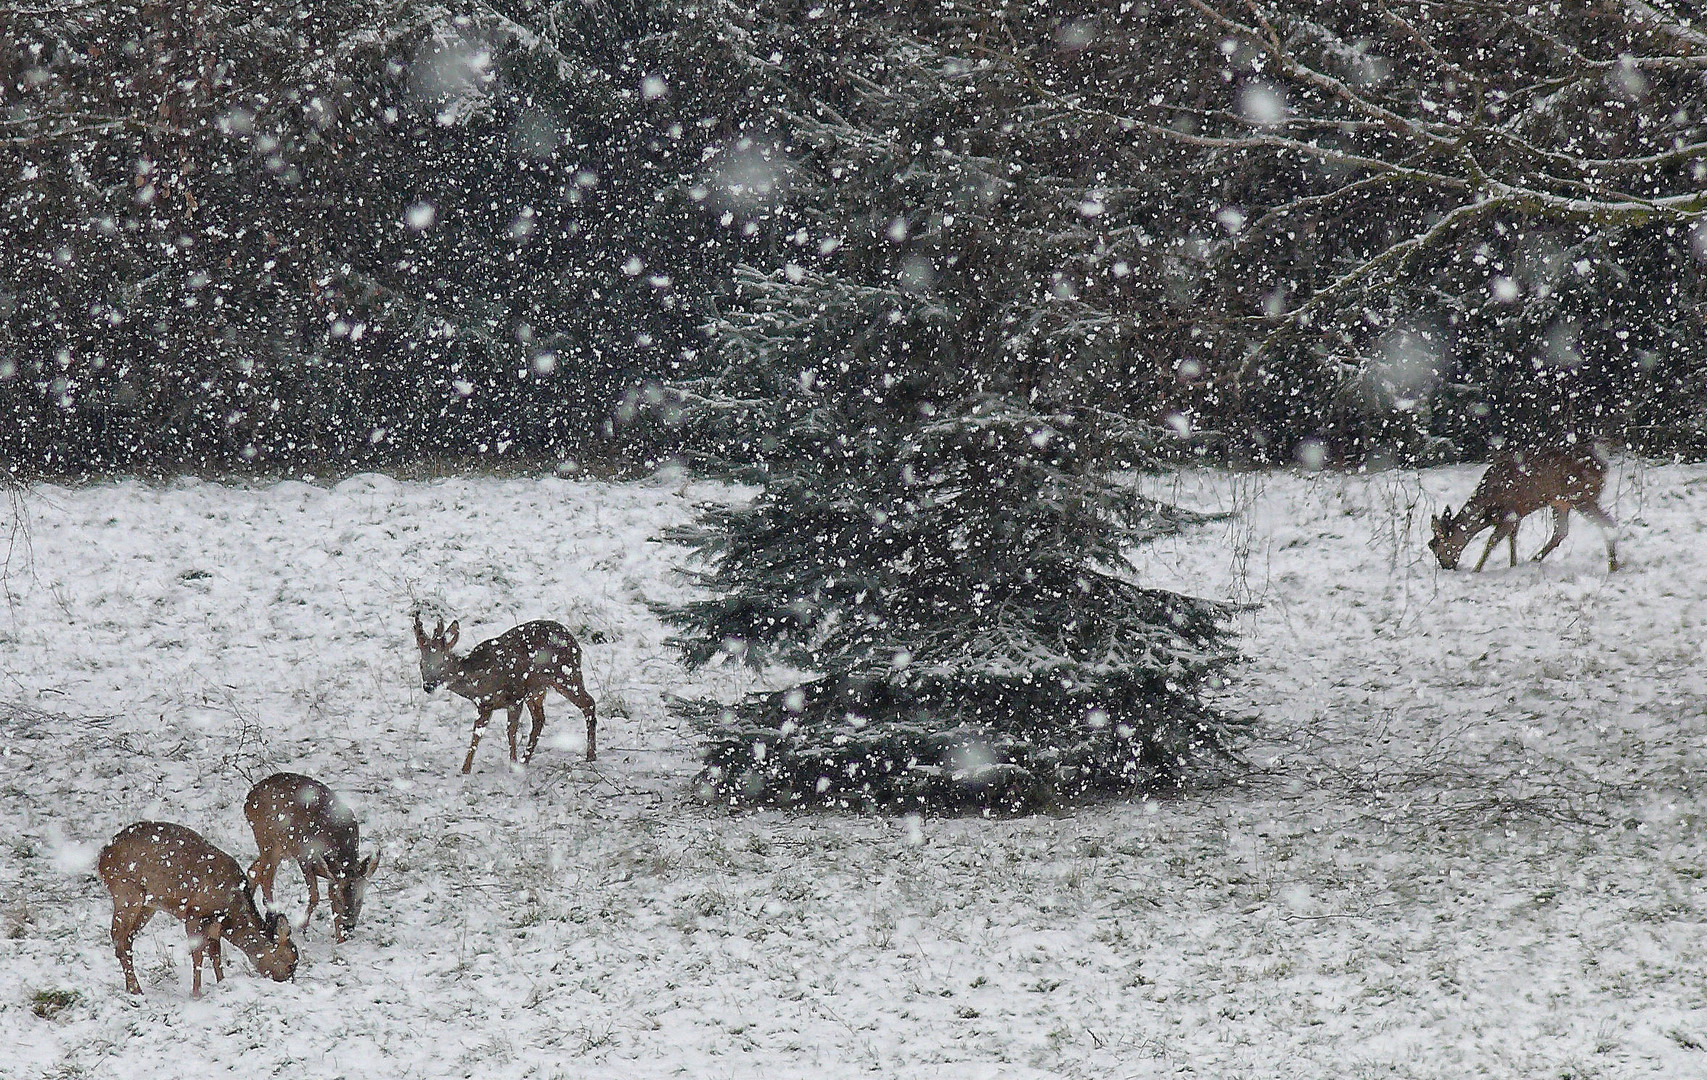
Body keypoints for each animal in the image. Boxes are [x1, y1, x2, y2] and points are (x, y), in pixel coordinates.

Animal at [94, 825, 295, 996]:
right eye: (290, 964)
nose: (289, 983)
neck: (232, 909)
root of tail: (102, 856)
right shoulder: (194, 913)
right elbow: (198, 955)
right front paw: (196, 993)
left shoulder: (215, 922)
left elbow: (215, 952)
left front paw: (222, 982)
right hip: (126, 892)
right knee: (119, 939)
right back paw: (136, 990)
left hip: (147, 904)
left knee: (127, 939)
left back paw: (131, 988)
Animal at [245, 771, 382, 941]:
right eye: (339, 899)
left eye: (359, 900)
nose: (349, 926)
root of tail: (248, 798)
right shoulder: (304, 855)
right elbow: (315, 896)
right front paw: (302, 926)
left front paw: (340, 939)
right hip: (268, 840)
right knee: (266, 878)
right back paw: (271, 915)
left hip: (280, 848)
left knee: (254, 870)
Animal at [409, 610, 597, 771]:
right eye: (421, 665)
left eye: (441, 664)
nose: (428, 686)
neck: (479, 679)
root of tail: (573, 639)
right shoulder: (484, 705)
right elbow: (477, 734)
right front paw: (465, 769)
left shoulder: (515, 696)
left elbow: (510, 731)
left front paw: (512, 763)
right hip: (537, 690)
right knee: (540, 719)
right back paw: (525, 760)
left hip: (566, 675)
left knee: (588, 703)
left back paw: (591, 756)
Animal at [1427, 440, 1611, 573]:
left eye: (1436, 549)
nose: (1447, 568)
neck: (1487, 508)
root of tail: (1602, 466)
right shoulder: (1517, 515)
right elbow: (1512, 539)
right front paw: (1513, 564)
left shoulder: (1509, 513)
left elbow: (1492, 541)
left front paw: (1476, 569)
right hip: (1560, 502)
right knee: (1561, 531)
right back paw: (1533, 560)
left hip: (1580, 496)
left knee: (1606, 523)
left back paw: (1613, 565)